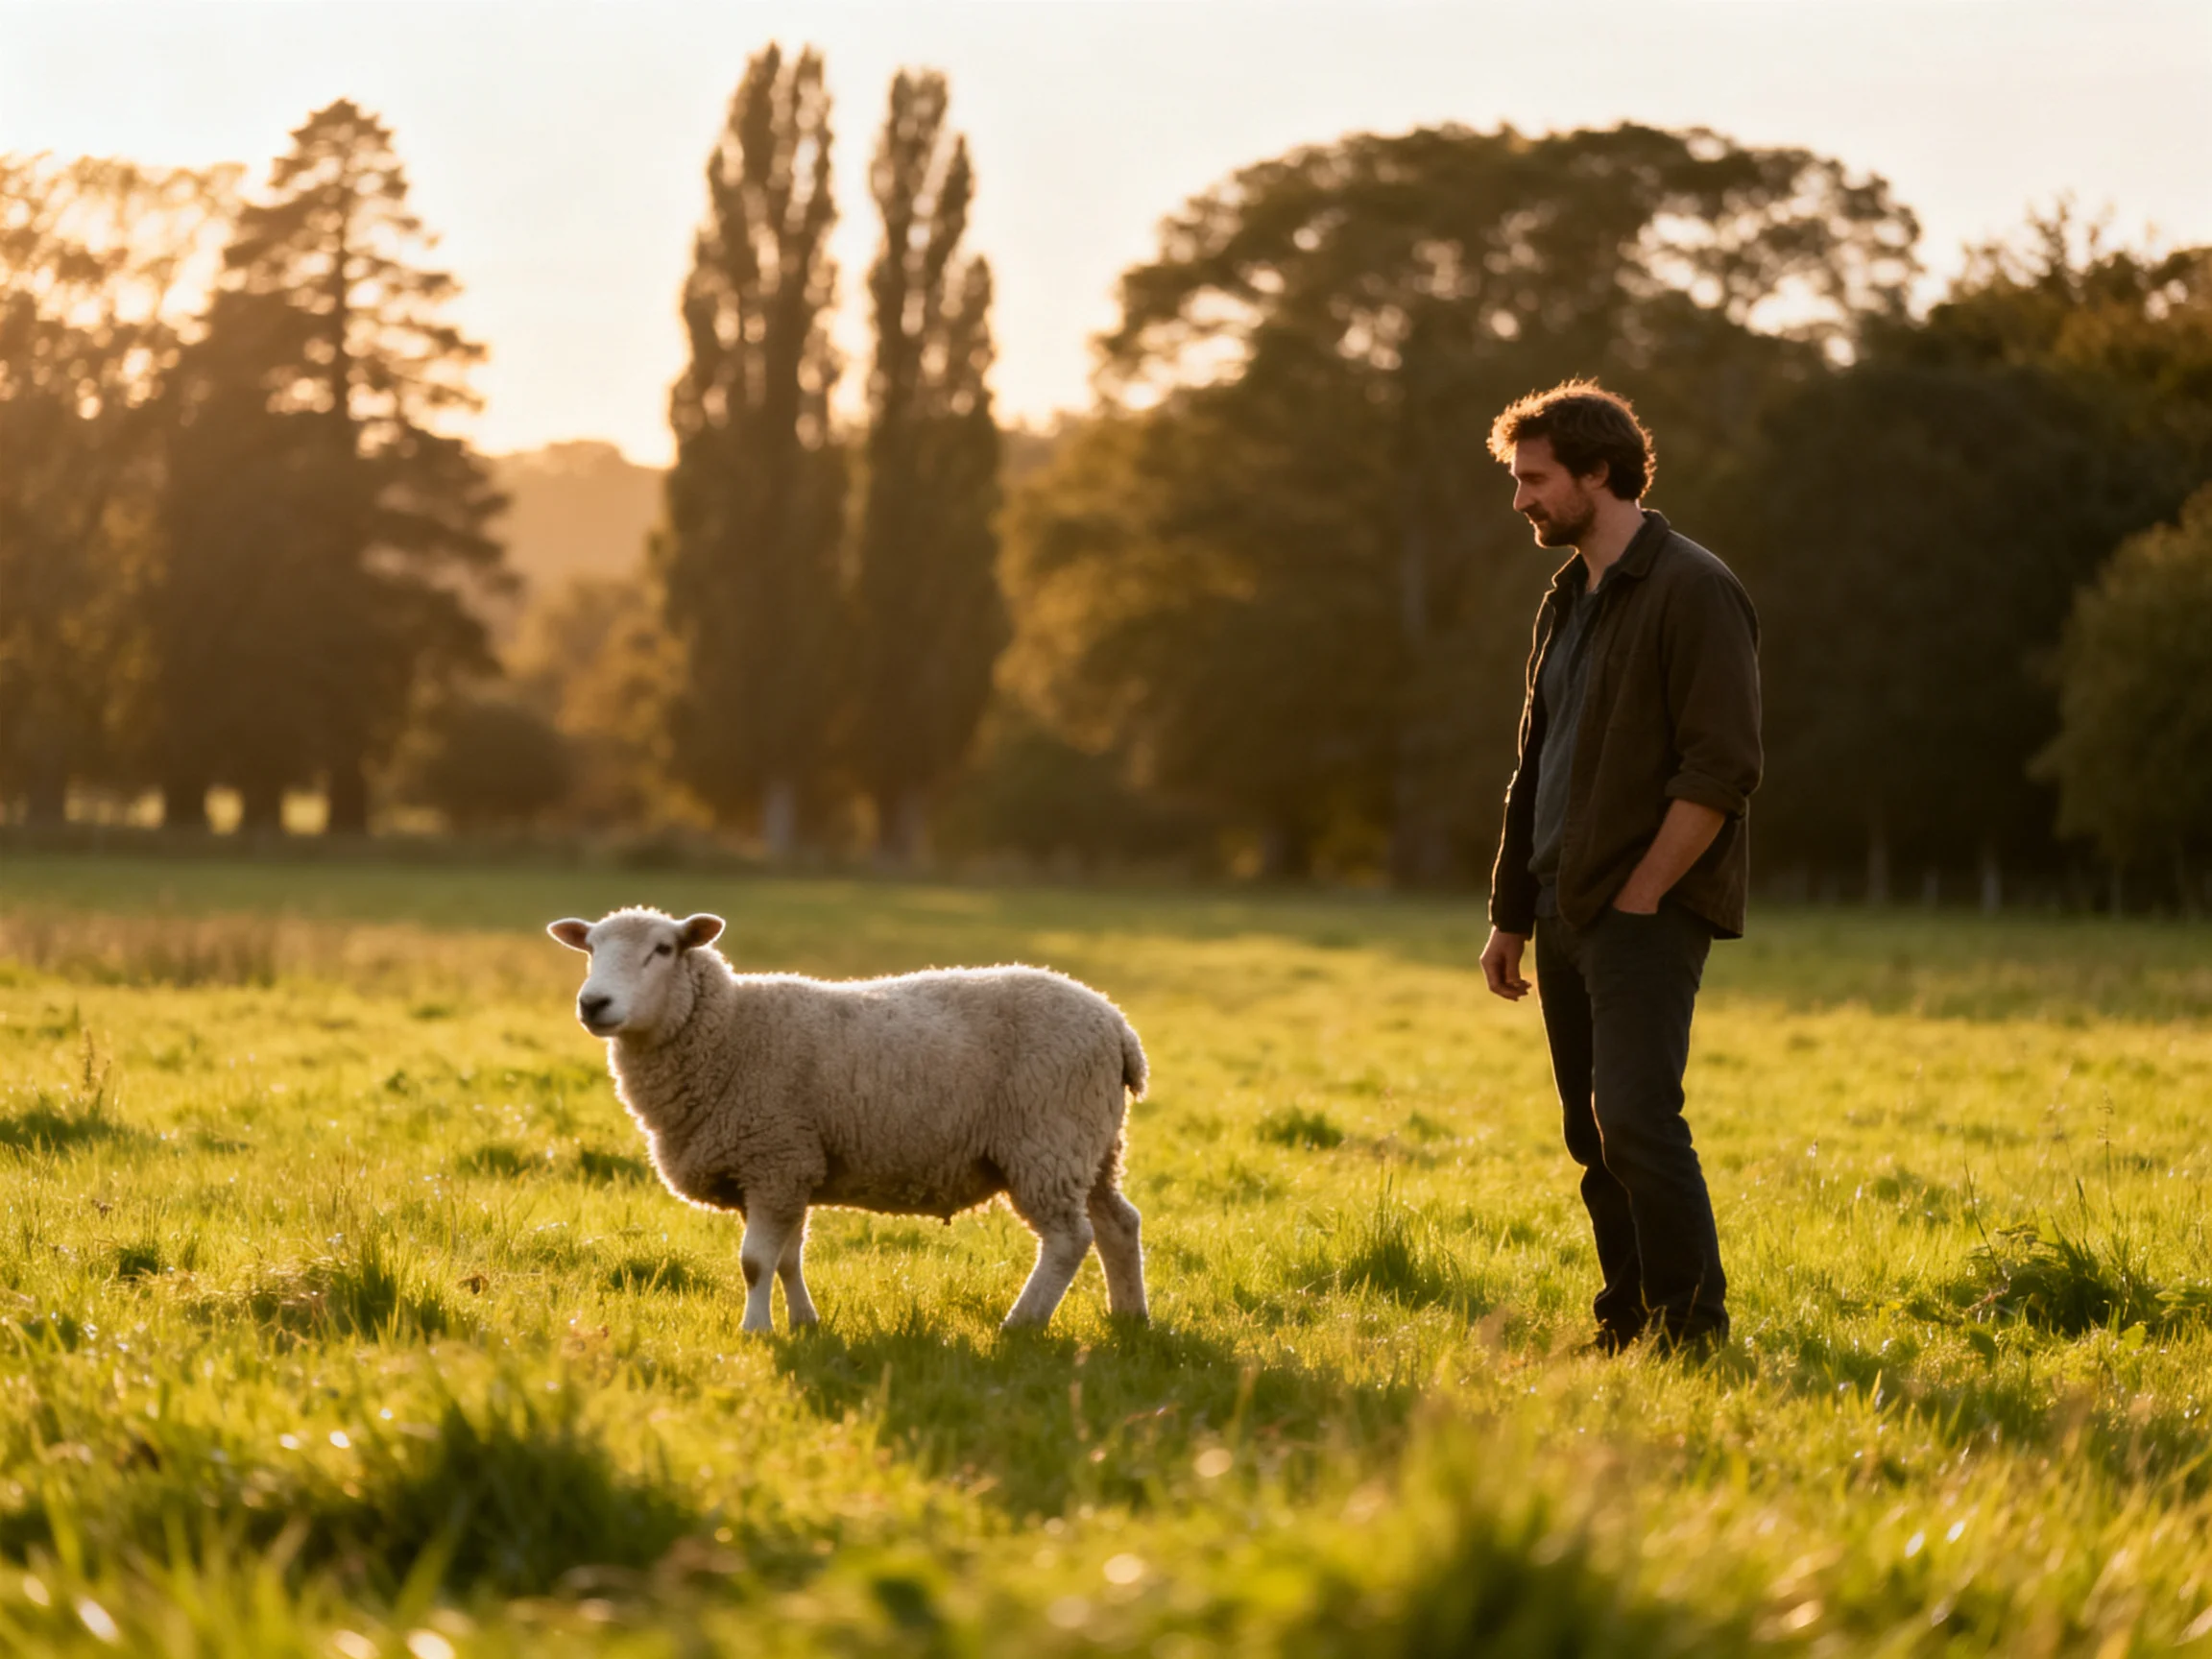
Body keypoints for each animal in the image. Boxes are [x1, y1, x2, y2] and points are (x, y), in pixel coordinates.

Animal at [547, 906, 1149, 1334]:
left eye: (663, 949)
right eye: (591, 948)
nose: (593, 1003)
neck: (730, 1029)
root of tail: (1116, 1023)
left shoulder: (774, 1160)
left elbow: (755, 1262)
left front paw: (756, 1330)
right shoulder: (786, 1168)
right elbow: (787, 1260)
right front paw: (803, 1323)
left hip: (1047, 1139)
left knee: (1069, 1238)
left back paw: (1021, 1324)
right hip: (1094, 1146)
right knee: (1119, 1224)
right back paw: (1129, 1319)